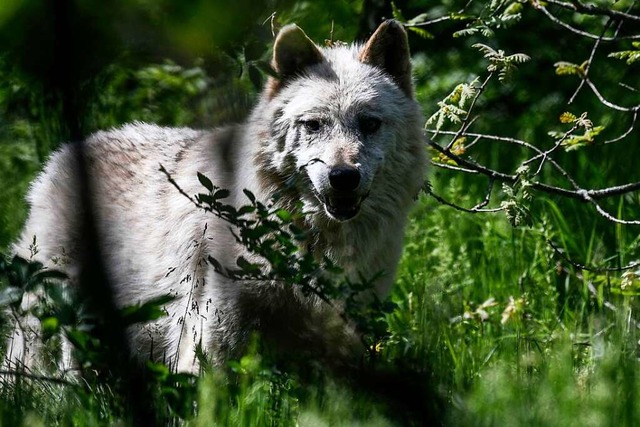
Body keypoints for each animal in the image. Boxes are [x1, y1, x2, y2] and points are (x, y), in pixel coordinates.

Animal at [5, 20, 428, 374]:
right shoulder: (213, 330)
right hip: (51, 315)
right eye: (313, 125)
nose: (343, 177)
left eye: (369, 124)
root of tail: (68, 151)